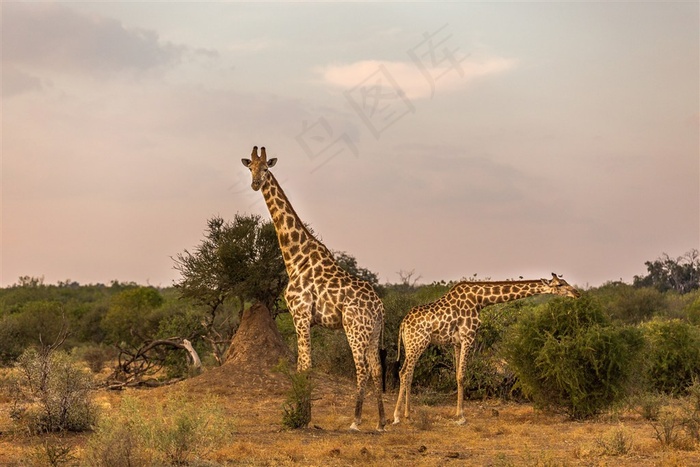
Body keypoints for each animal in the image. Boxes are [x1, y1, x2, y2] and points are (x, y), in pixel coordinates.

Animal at [242, 145, 388, 432]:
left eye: (266, 168)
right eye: (250, 167)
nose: (255, 184)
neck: (294, 256)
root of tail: (379, 307)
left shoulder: (299, 315)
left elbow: (304, 367)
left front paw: (302, 418)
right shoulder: (306, 320)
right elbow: (305, 366)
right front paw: (303, 415)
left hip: (354, 329)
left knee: (362, 369)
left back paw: (355, 421)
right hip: (373, 332)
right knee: (376, 368)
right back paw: (380, 422)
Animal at [394, 272, 580, 426]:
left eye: (564, 282)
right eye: (559, 285)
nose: (577, 293)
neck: (480, 300)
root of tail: (403, 325)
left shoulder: (457, 342)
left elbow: (456, 375)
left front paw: (457, 413)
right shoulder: (468, 337)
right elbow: (462, 376)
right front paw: (461, 417)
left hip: (411, 345)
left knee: (408, 373)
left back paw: (407, 415)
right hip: (418, 343)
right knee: (404, 372)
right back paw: (398, 416)